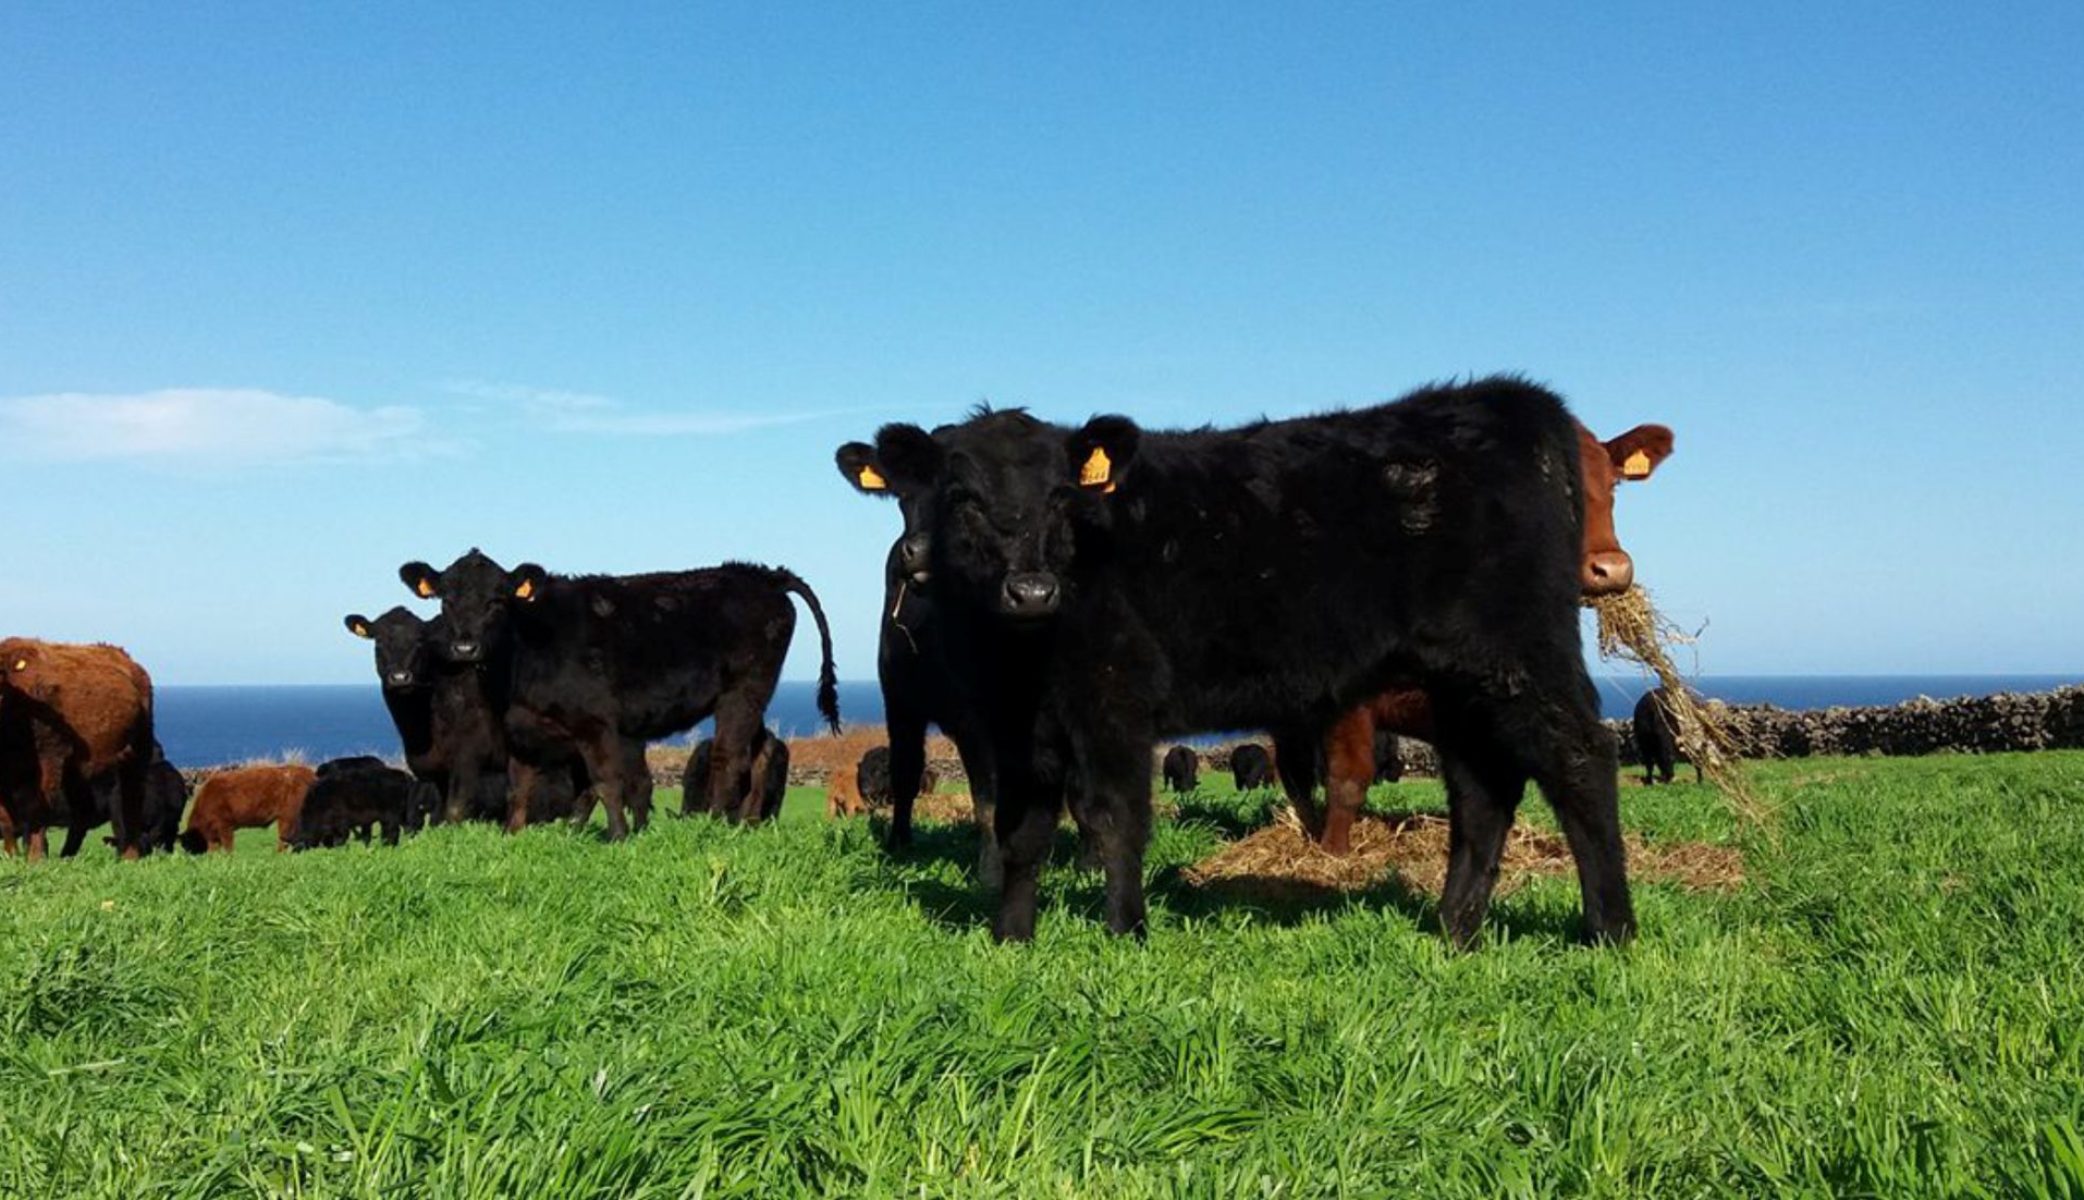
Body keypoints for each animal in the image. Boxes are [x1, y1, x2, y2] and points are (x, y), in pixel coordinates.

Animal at [0, 639, 156, 860]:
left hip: (138, 750)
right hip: (77, 768)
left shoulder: (50, 757)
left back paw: (130, 856)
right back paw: (67, 855)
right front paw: (11, 856)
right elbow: (5, 817)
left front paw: (36, 857)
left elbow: (38, 809)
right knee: (83, 812)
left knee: (131, 802)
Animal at [178, 763, 316, 853]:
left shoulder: (225, 826)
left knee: (284, 838)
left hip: (287, 817)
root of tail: (308, 773)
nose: (190, 856)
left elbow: (228, 846)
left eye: (187, 844)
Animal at [397, 550, 839, 840]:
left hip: (743, 690)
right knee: (762, 750)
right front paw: (520, 834)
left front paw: (617, 836)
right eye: (446, 600)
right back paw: (747, 823)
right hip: (754, 695)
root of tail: (763, 575)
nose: (464, 647)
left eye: (496, 601)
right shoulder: (520, 729)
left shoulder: (595, 723)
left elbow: (606, 781)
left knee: (729, 756)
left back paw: (716, 822)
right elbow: (522, 786)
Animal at [864, 377, 1630, 946]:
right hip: (1461, 679)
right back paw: (1454, 927)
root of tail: (1505, 400)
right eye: (961, 498)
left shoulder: (1115, 699)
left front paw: (1125, 931)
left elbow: (1116, 818)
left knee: (1580, 760)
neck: (1020, 652)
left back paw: (1609, 929)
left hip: (1520, 653)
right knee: (1481, 790)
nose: (1032, 590)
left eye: (1063, 496)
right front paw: (1011, 938)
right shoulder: (1017, 722)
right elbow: (1020, 829)